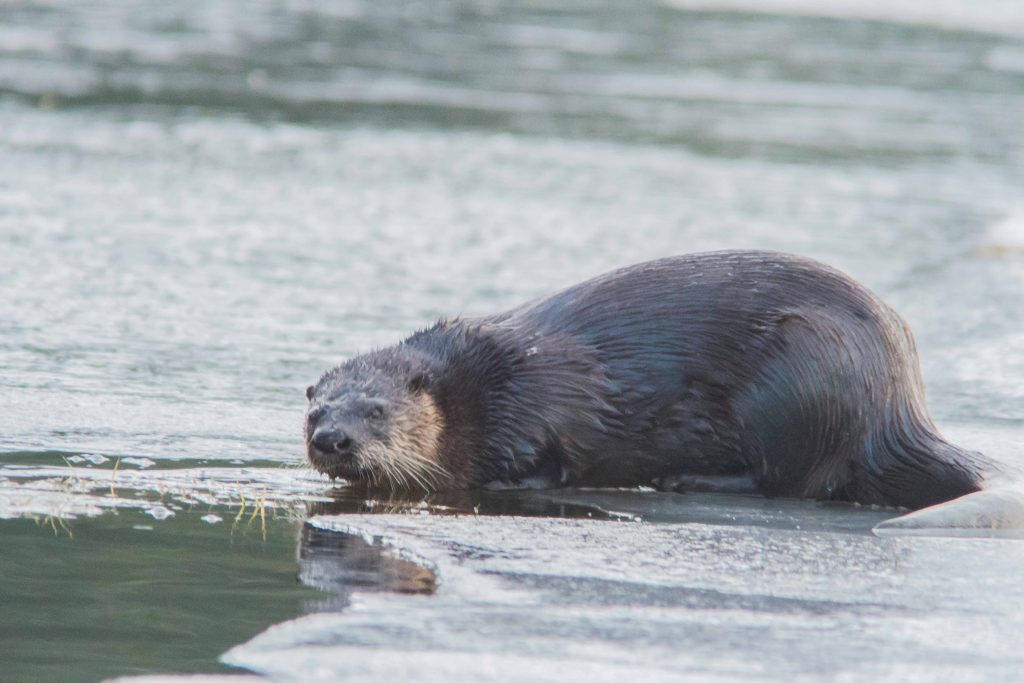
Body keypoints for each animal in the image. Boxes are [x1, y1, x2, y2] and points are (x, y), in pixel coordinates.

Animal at [304, 250, 998, 511]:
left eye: (376, 410)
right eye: (315, 411)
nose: (332, 440)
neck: (484, 386)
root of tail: (899, 412)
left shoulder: (543, 401)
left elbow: (549, 459)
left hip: (805, 376)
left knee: (795, 479)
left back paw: (688, 478)